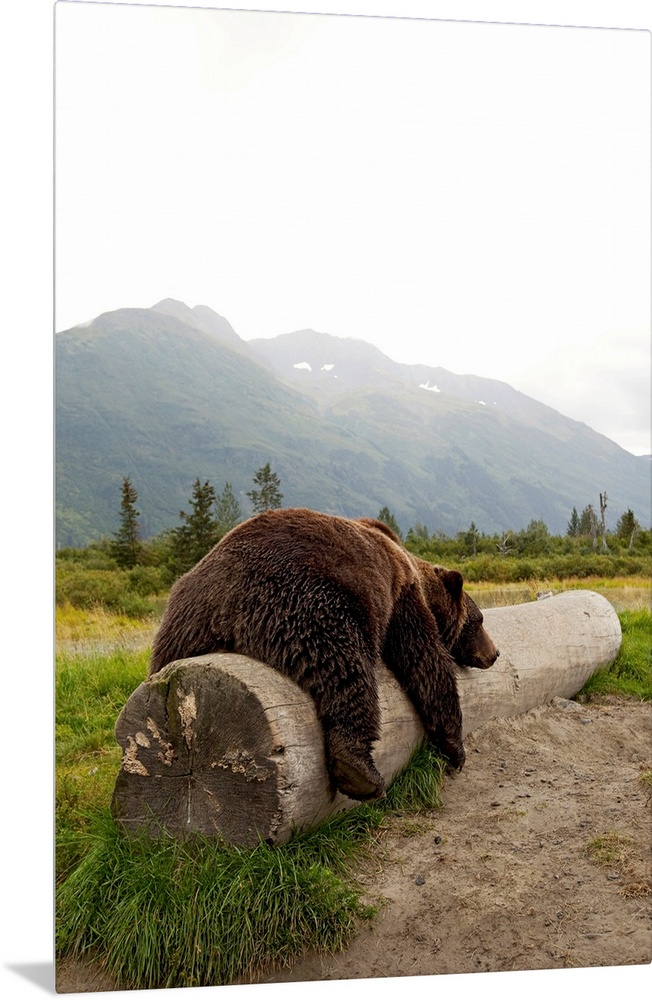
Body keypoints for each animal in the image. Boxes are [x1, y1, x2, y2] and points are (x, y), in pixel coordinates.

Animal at [149, 512, 500, 800]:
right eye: (479, 619)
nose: (494, 653)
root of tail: (224, 601)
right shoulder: (401, 596)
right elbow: (426, 662)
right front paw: (456, 749)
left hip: (181, 628)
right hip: (311, 600)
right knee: (346, 668)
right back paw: (361, 772)